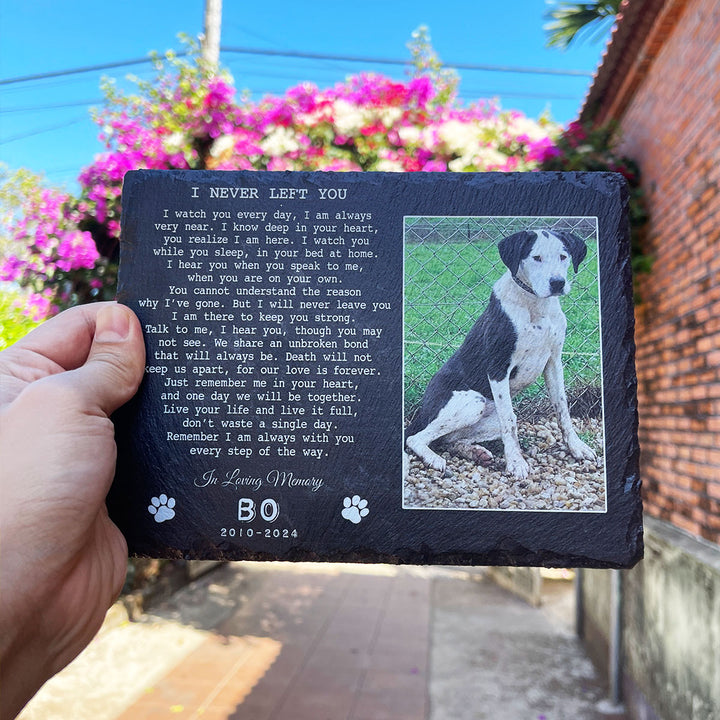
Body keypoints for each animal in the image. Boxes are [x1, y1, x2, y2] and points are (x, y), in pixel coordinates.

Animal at [404, 229, 596, 478]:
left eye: (563, 256)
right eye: (536, 258)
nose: (557, 283)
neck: (535, 306)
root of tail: (421, 411)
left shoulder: (553, 362)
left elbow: (562, 409)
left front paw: (576, 447)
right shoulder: (498, 367)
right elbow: (510, 421)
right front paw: (515, 462)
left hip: (486, 416)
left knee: (447, 440)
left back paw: (474, 452)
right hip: (472, 401)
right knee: (415, 438)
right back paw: (434, 459)